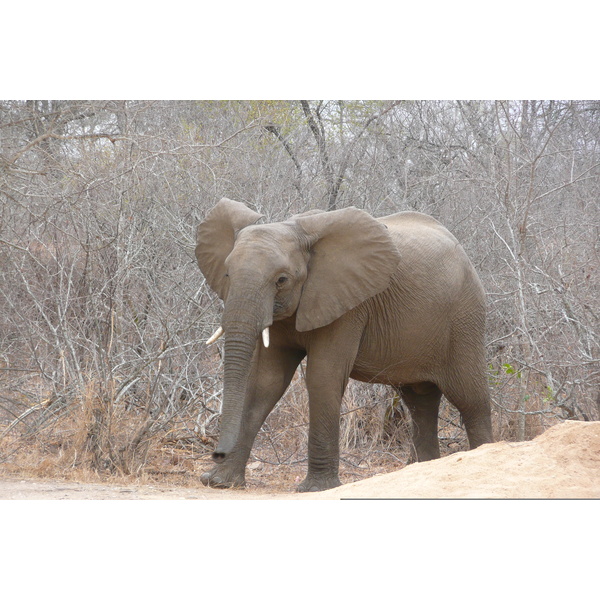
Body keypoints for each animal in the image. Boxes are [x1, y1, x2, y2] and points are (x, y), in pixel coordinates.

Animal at [197, 198, 492, 492]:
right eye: (227, 274)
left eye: (281, 280)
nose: (216, 453)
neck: (295, 229)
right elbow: (265, 382)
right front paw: (220, 482)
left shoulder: (348, 305)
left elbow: (323, 377)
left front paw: (316, 488)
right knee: (420, 400)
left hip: (464, 319)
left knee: (470, 397)